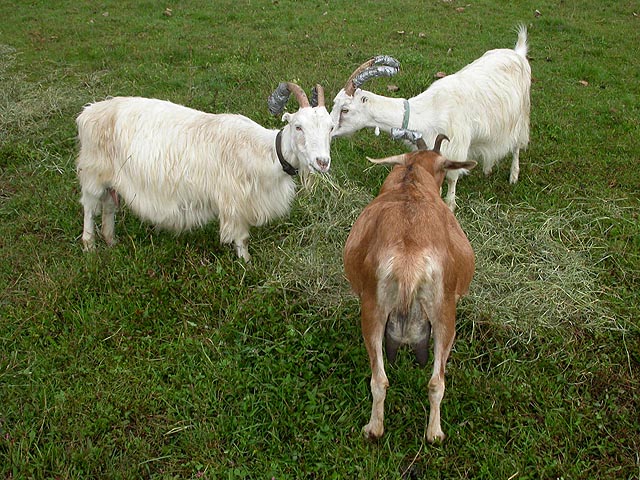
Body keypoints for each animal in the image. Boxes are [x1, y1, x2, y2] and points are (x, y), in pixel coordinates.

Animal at [76, 83, 333, 261]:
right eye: (298, 126)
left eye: (331, 127)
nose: (322, 162)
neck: (264, 151)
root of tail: (88, 112)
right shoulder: (234, 201)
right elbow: (242, 237)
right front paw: (246, 263)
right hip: (92, 171)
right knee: (89, 207)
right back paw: (89, 245)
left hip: (110, 177)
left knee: (109, 205)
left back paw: (111, 240)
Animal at [331, 26, 531, 210]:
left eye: (345, 110)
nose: (330, 130)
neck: (428, 111)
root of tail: (517, 52)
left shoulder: (456, 146)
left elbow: (451, 178)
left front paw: (450, 204)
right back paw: (488, 168)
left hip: (522, 114)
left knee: (517, 146)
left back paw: (513, 176)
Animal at [343, 132, 475, 442]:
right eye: (442, 169)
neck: (411, 180)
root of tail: (409, 262)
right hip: (443, 312)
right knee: (434, 381)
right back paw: (432, 433)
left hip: (375, 311)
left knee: (383, 379)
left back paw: (380, 429)